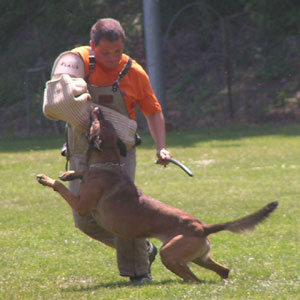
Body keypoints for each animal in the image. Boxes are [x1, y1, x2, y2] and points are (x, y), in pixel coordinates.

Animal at [36, 106, 278, 282]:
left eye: (99, 123)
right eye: (106, 123)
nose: (97, 108)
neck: (106, 164)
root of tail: (202, 227)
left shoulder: (81, 205)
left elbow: (60, 187)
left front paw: (48, 179)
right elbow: (80, 173)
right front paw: (70, 173)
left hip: (170, 253)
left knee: (193, 279)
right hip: (200, 257)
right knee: (223, 271)